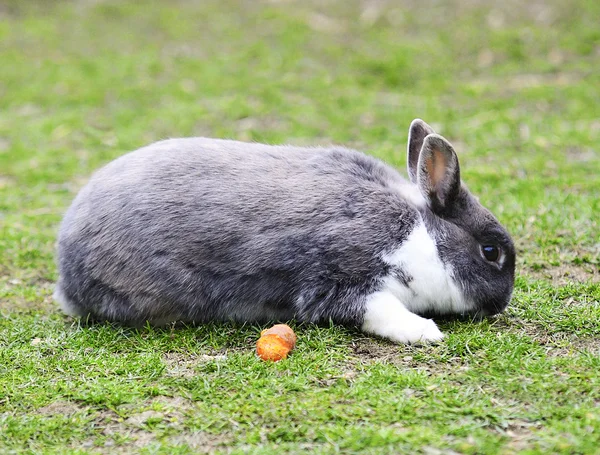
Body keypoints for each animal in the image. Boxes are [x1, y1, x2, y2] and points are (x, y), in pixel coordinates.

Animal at [52, 119, 516, 344]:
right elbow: (378, 309)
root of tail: (65, 271)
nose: (502, 303)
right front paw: (425, 332)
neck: (422, 232)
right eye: (490, 252)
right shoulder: (338, 279)